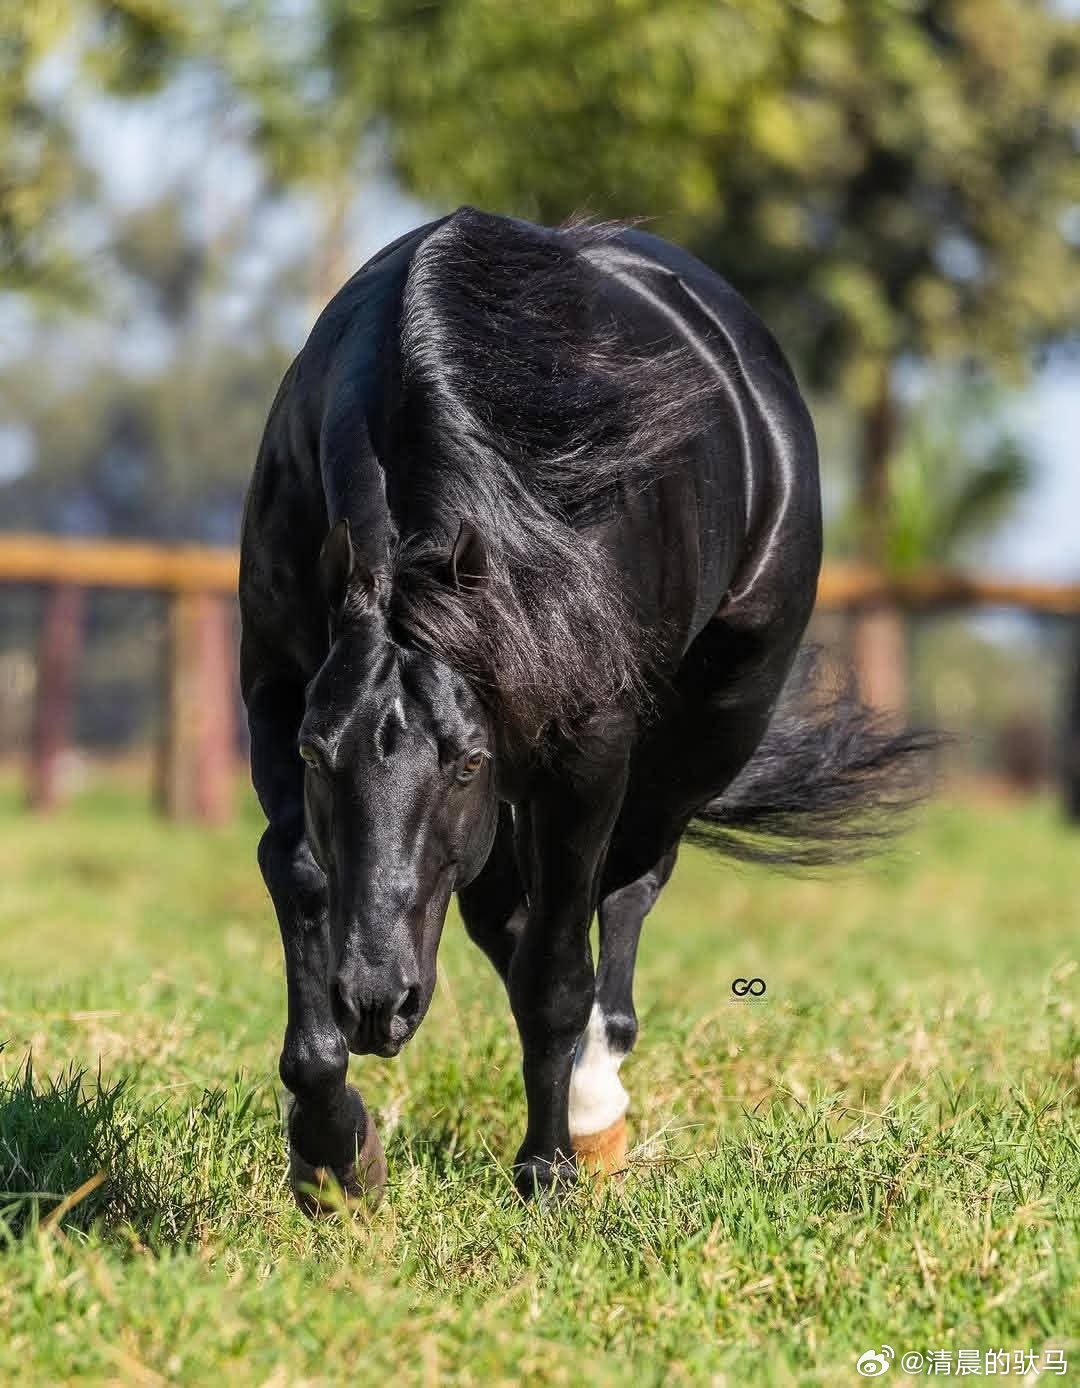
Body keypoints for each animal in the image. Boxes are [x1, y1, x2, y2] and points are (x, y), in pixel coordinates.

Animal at [239, 207, 928, 1207]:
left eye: (467, 761)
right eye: (317, 755)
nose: (377, 1002)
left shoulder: (583, 751)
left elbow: (561, 968)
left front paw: (550, 1168)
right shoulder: (276, 694)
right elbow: (302, 875)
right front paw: (332, 1150)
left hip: (702, 730)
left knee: (628, 886)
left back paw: (599, 1105)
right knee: (506, 914)